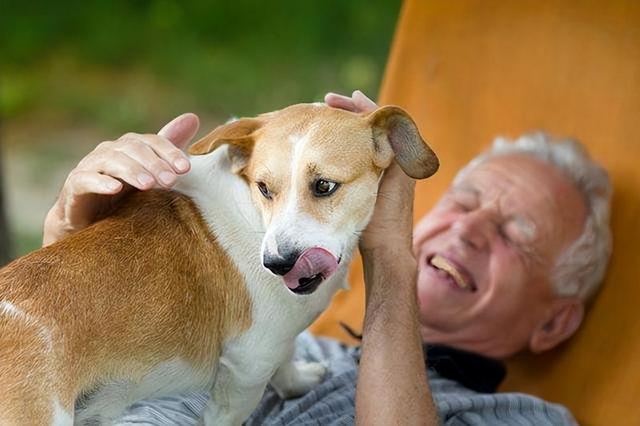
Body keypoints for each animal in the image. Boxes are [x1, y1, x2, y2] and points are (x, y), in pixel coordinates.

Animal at [0, 104, 436, 426]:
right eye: (264, 188)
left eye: (324, 186)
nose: (277, 264)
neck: (251, 212)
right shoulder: (246, 367)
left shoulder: (271, 345)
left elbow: (287, 358)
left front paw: (297, 381)